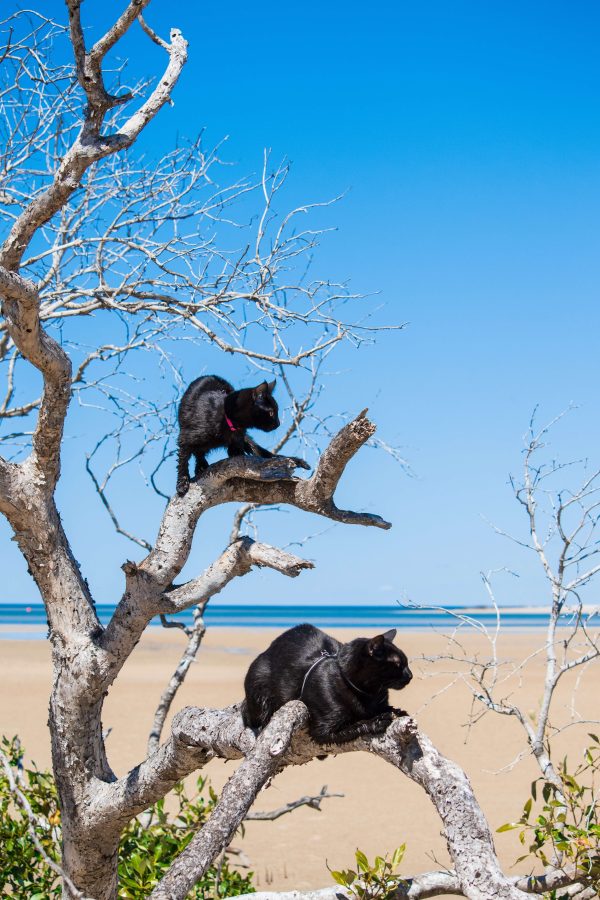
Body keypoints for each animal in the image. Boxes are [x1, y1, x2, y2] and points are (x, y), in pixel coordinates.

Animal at [176, 374, 312, 496]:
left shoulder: (239, 437)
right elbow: (183, 461)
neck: (226, 418)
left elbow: (237, 454)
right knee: (198, 452)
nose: (278, 423)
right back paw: (201, 466)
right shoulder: (185, 437)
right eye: (271, 412)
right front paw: (182, 484)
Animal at [240, 624, 412, 744]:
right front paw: (377, 721)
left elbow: (386, 709)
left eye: (406, 663)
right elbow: (355, 725)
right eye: (398, 664)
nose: (410, 675)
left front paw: (397, 712)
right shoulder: (324, 729)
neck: (369, 694)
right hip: (259, 689)